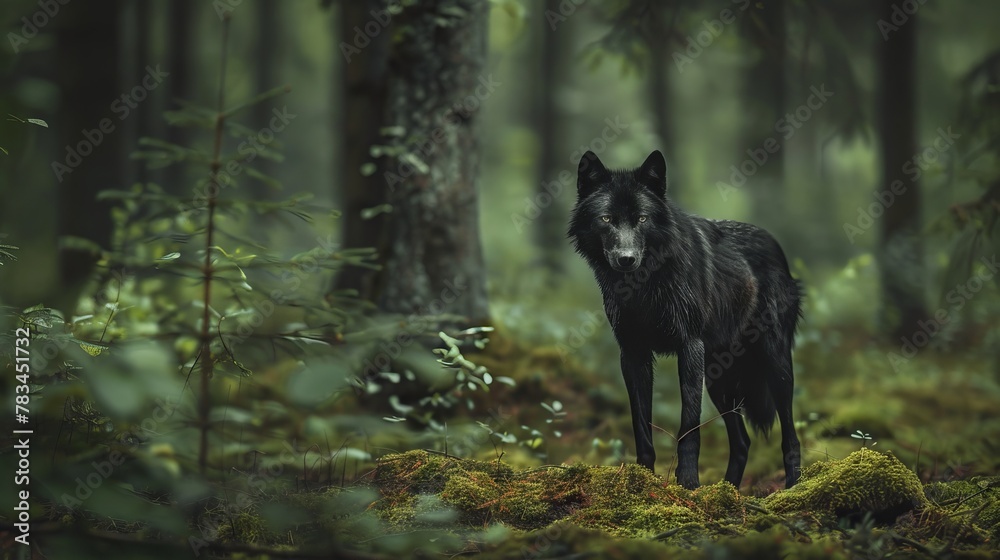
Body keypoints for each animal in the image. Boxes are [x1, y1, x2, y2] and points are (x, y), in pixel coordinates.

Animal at [568, 150, 802, 490]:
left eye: (642, 219)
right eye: (606, 219)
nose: (626, 259)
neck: (643, 287)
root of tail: (775, 245)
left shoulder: (689, 347)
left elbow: (689, 425)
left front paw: (689, 483)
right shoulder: (633, 355)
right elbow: (641, 426)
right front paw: (643, 478)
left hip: (775, 365)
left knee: (790, 434)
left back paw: (794, 486)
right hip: (718, 380)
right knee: (742, 441)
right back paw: (727, 490)